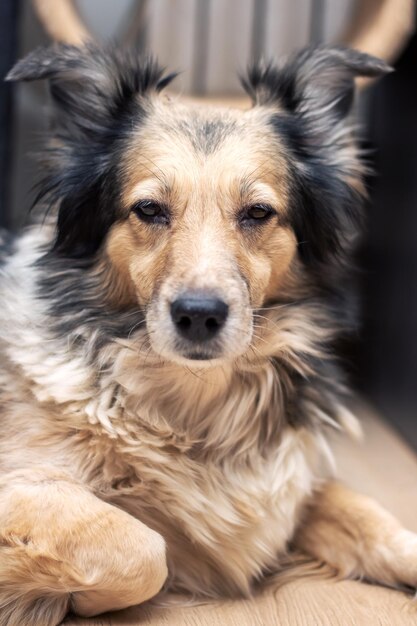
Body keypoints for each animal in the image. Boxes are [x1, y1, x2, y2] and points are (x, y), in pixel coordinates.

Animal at [0, 44, 416, 624]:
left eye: (258, 212)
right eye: (148, 209)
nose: (198, 315)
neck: (193, 408)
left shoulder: (293, 482)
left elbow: (373, 518)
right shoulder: (24, 483)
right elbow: (142, 549)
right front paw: (44, 592)